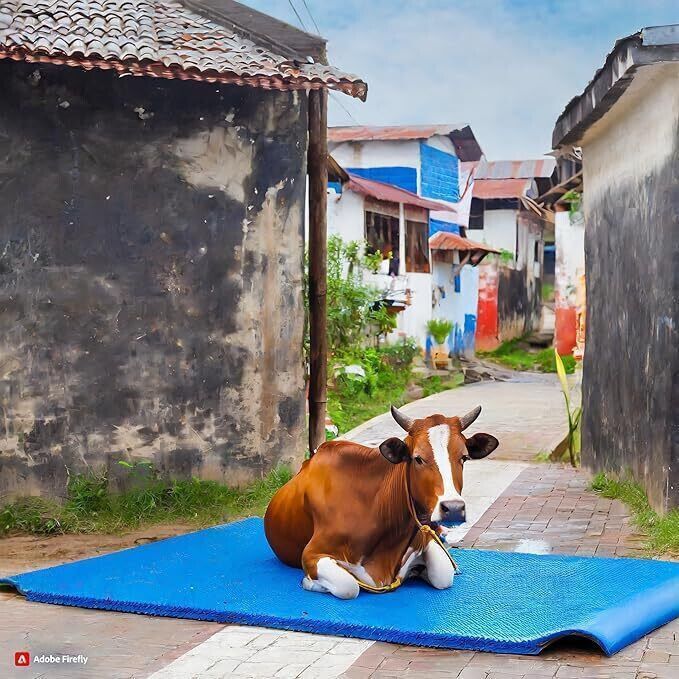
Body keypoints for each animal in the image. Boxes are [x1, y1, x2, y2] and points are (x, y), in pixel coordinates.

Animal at [264, 405, 499, 599]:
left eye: (464, 457)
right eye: (418, 458)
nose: (454, 508)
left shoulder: (424, 535)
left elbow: (443, 574)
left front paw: (418, 570)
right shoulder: (312, 553)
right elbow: (349, 586)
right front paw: (311, 583)